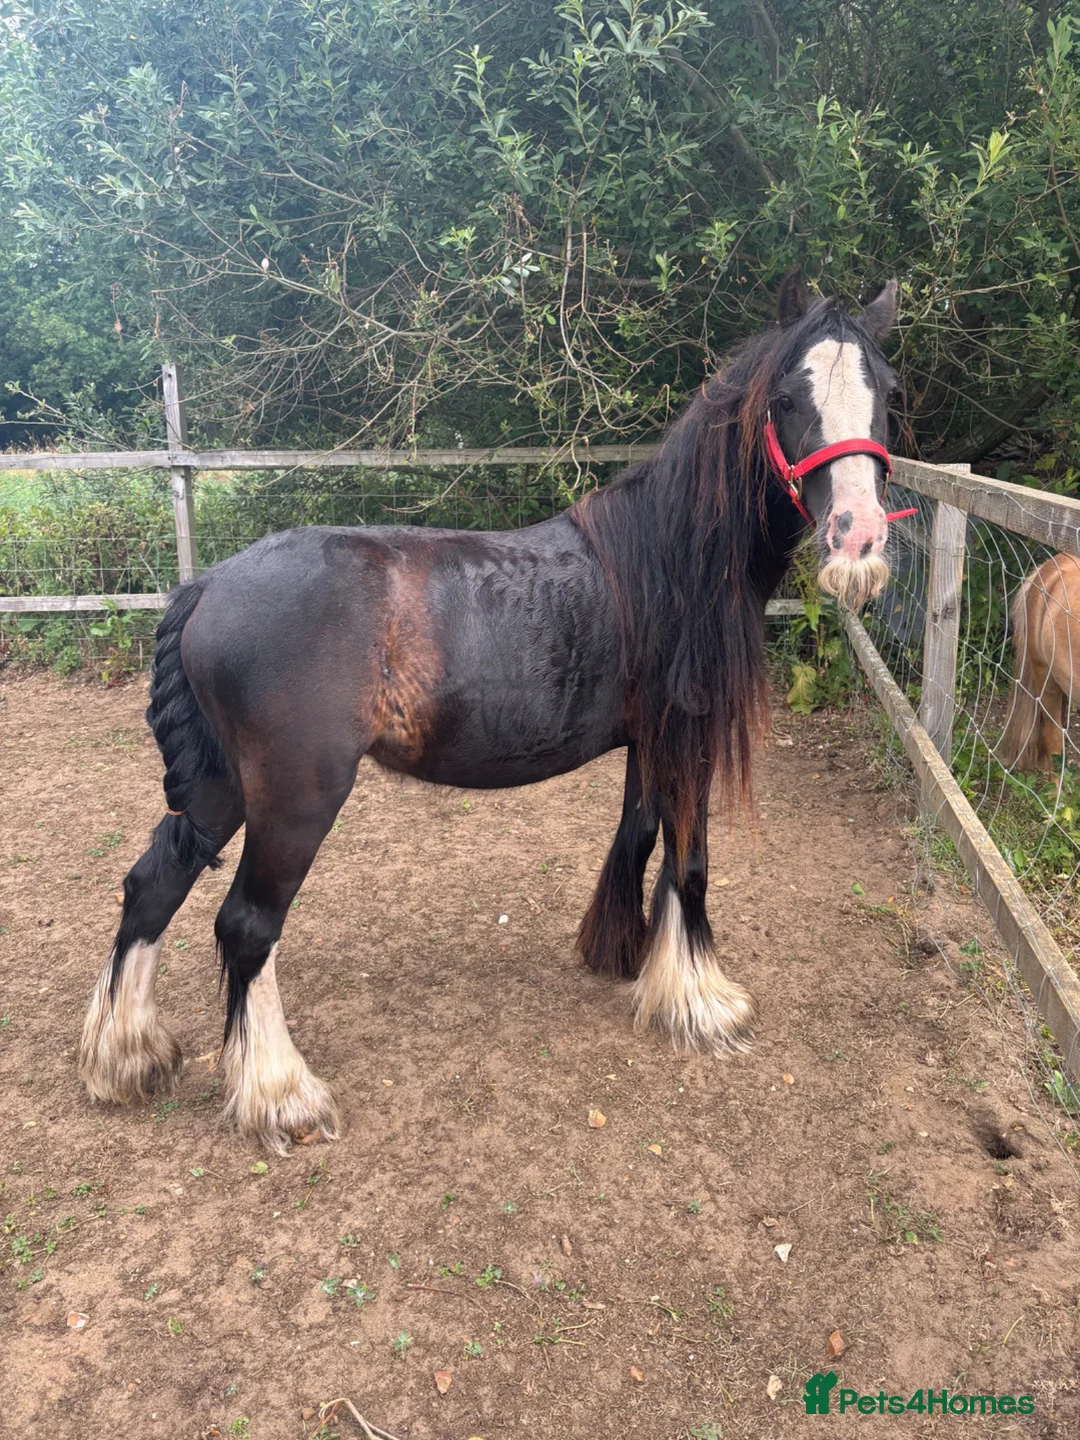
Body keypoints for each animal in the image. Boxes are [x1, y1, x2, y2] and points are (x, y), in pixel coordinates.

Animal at [80, 271, 904, 1152]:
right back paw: (281, 1093)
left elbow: (639, 833)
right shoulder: (690, 733)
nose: (858, 538)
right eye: (787, 396)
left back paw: (126, 1055)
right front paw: (699, 1000)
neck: (668, 559)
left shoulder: (650, 740)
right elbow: (689, 860)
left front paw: (621, 954)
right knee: (246, 924)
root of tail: (207, 585)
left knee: (153, 883)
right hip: (294, 796)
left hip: (221, 787)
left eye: (886, 391)